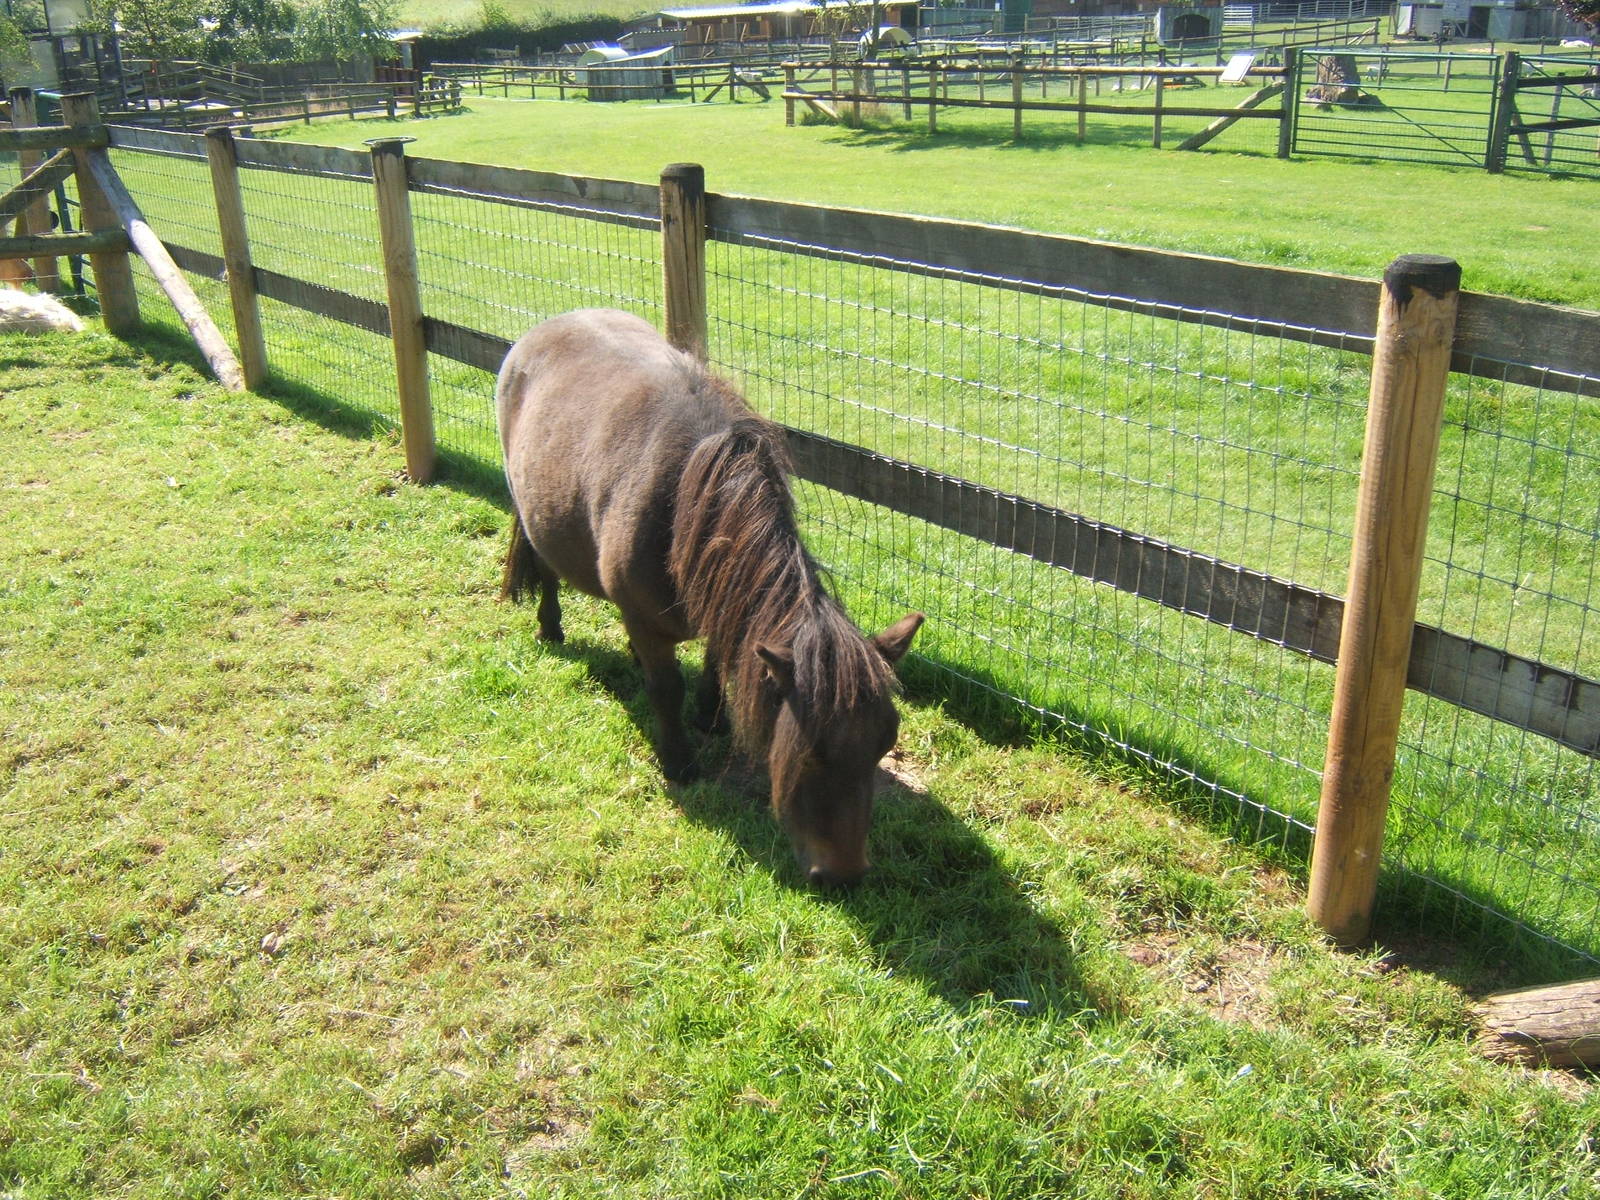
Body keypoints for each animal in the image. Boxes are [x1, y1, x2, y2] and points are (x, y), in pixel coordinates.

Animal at [496, 309, 922, 887]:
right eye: (812, 753)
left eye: (882, 747)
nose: (845, 876)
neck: (687, 496)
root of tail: (547, 325)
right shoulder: (647, 620)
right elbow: (665, 688)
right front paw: (679, 760)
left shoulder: (724, 600)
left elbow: (718, 659)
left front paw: (711, 716)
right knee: (545, 569)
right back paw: (550, 625)